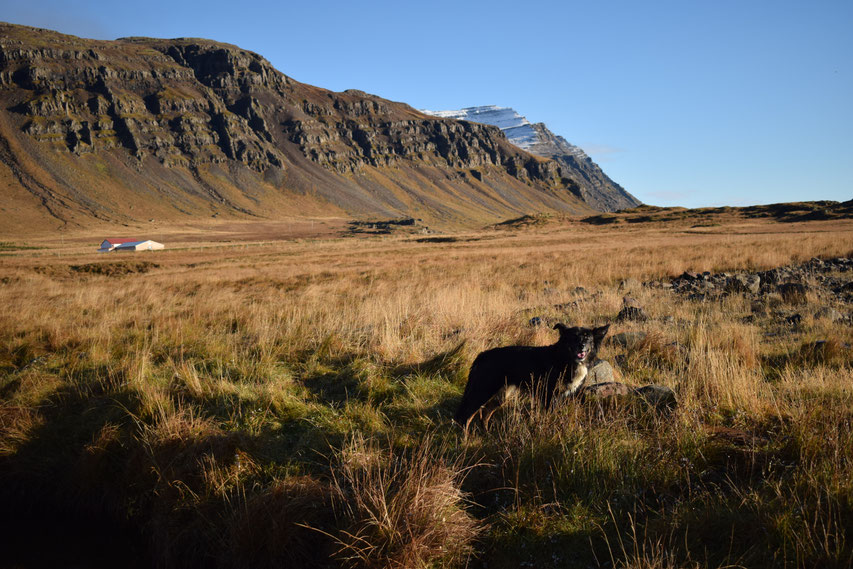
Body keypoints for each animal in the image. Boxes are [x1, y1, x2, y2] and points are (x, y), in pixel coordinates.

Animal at [452, 324, 604, 426]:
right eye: (573, 337)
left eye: (588, 339)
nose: (582, 346)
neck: (564, 358)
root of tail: (483, 355)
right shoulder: (548, 396)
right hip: (483, 390)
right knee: (466, 417)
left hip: (502, 395)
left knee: (485, 414)